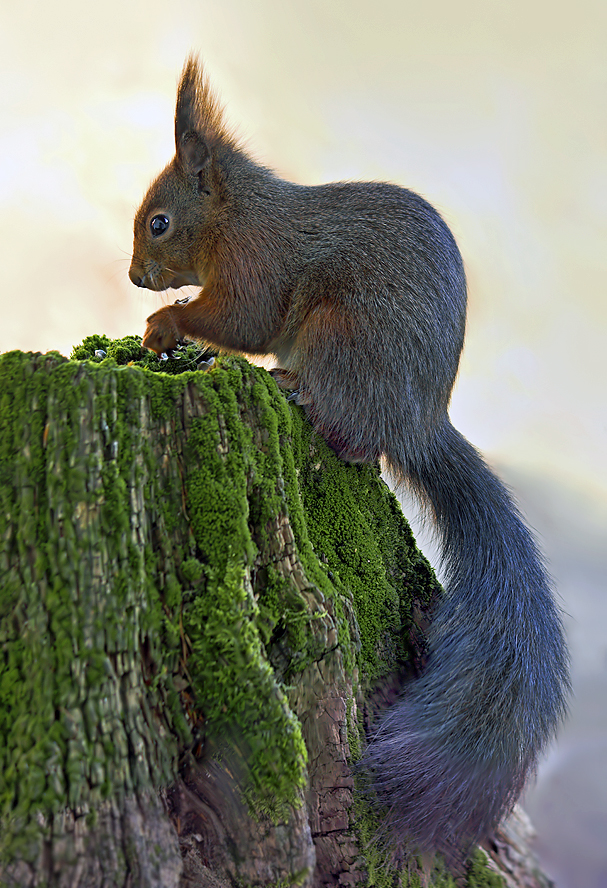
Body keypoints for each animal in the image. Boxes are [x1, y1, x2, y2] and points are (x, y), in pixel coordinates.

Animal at [131, 57, 572, 860]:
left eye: (160, 222)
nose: (133, 276)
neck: (238, 217)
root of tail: (419, 422)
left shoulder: (257, 265)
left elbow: (242, 318)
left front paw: (169, 324)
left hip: (340, 336)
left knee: (354, 436)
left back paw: (296, 392)